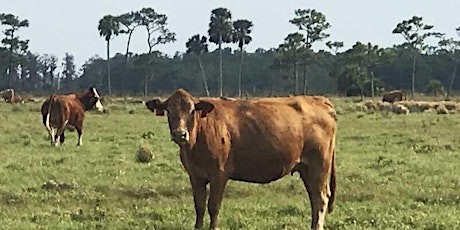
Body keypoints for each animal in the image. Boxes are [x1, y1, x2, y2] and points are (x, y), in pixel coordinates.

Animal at [147, 89, 338, 230]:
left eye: (192, 110)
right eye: (169, 110)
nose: (180, 134)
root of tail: (320, 100)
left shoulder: (219, 175)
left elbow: (213, 206)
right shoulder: (196, 176)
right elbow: (199, 206)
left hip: (319, 166)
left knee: (320, 198)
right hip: (306, 168)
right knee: (314, 198)